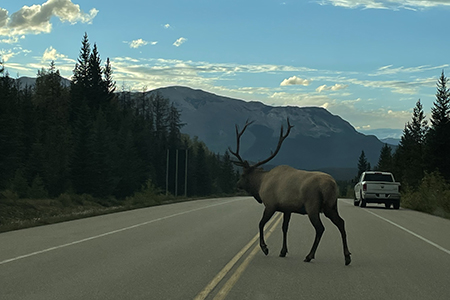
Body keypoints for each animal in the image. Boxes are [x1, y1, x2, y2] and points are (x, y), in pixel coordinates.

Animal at [229, 119, 352, 264]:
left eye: (242, 175)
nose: (237, 185)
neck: (260, 185)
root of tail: (332, 184)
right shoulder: (286, 209)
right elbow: (284, 228)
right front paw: (283, 251)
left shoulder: (270, 205)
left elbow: (261, 223)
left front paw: (265, 248)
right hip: (331, 206)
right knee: (341, 223)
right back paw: (347, 256)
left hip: (312, 206)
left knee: (320, 228)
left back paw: (309, 255)